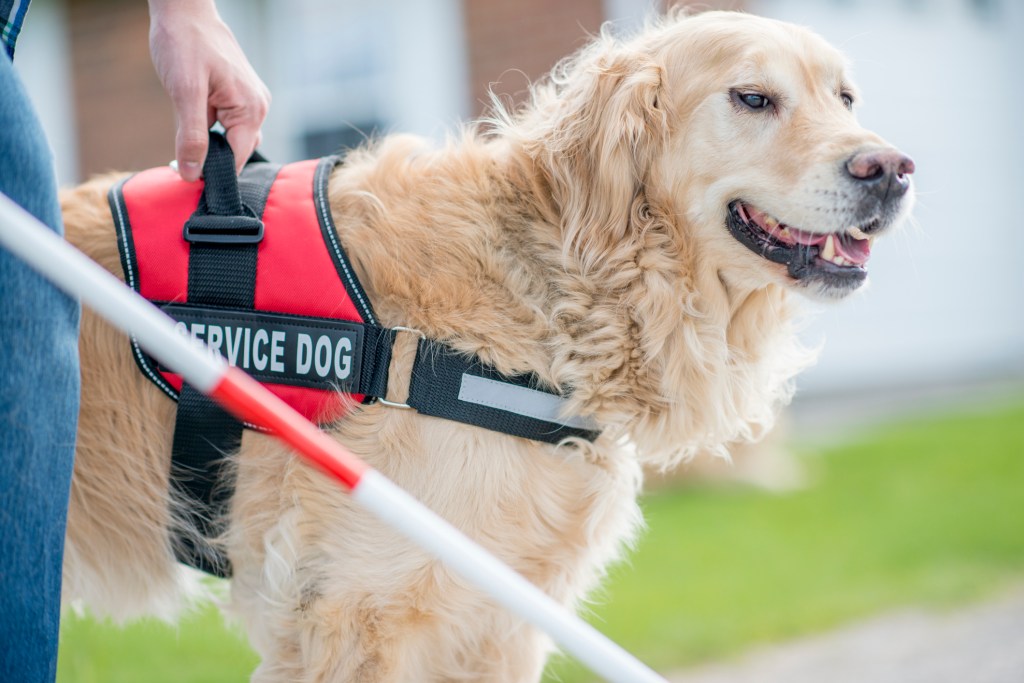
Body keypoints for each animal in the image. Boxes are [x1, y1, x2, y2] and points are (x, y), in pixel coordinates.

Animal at [59, 10, 917, 683]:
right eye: (752, 98)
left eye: (845, 97)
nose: (893, 169)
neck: (556, 282)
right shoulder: (357, 605)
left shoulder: (497, 613)